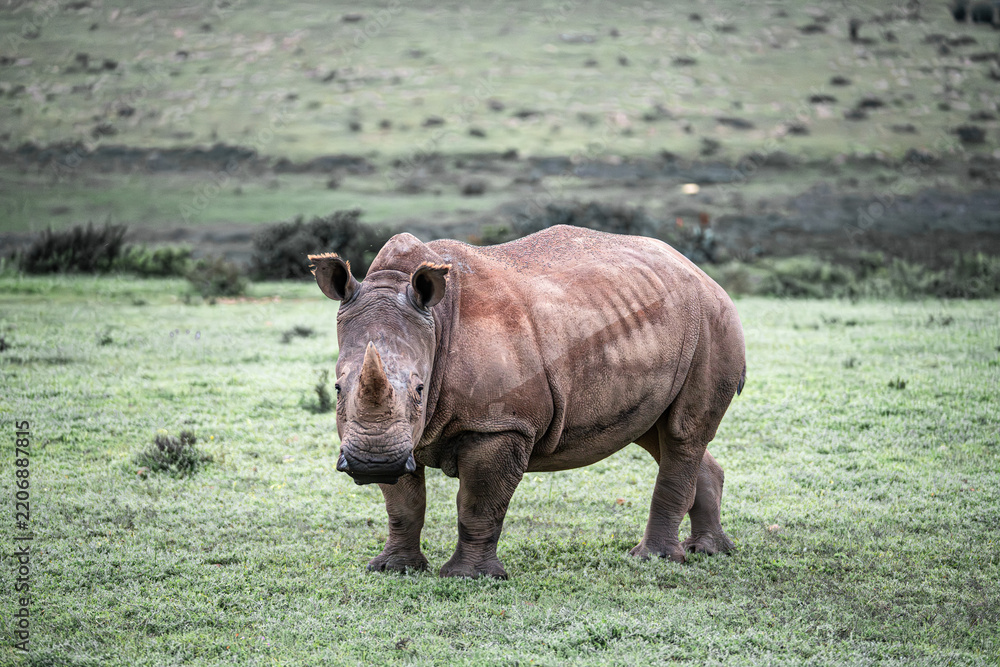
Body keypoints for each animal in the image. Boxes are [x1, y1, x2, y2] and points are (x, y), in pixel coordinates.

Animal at [310, 225, 745, 579]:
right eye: (337, 388)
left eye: (420, 389)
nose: (372, 464)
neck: (437, 322)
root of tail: (701, 273)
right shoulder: (399, 437)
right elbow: (403, 504)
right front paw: (393, 569)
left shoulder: (501, 424)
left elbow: (478, 503)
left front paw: (469, 577)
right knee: (659, 432)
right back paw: (708, 551)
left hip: (713, 321)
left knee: (682, 433)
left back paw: (654, 559)